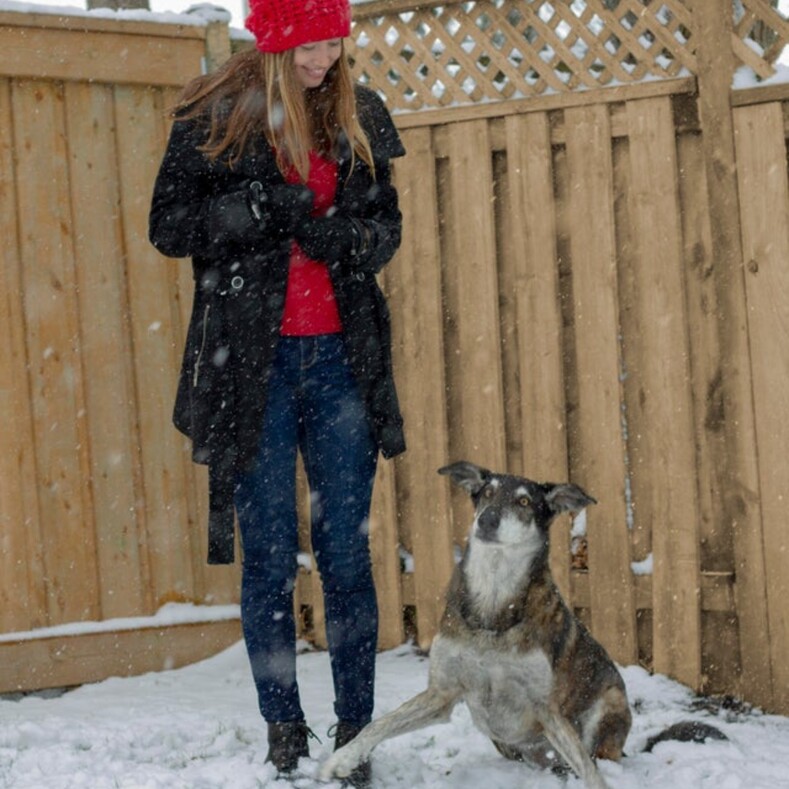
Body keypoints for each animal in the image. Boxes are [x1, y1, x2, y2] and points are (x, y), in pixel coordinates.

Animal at [318, 462, 720, 788]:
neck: (495, 603)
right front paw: (342, 759)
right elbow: (380, 723)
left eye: (525, 502)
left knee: (595, 758)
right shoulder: (441, 693)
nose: (486, 519)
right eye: (487, 493)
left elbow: (589, 772)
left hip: (609, 704)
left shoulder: (547, 708)